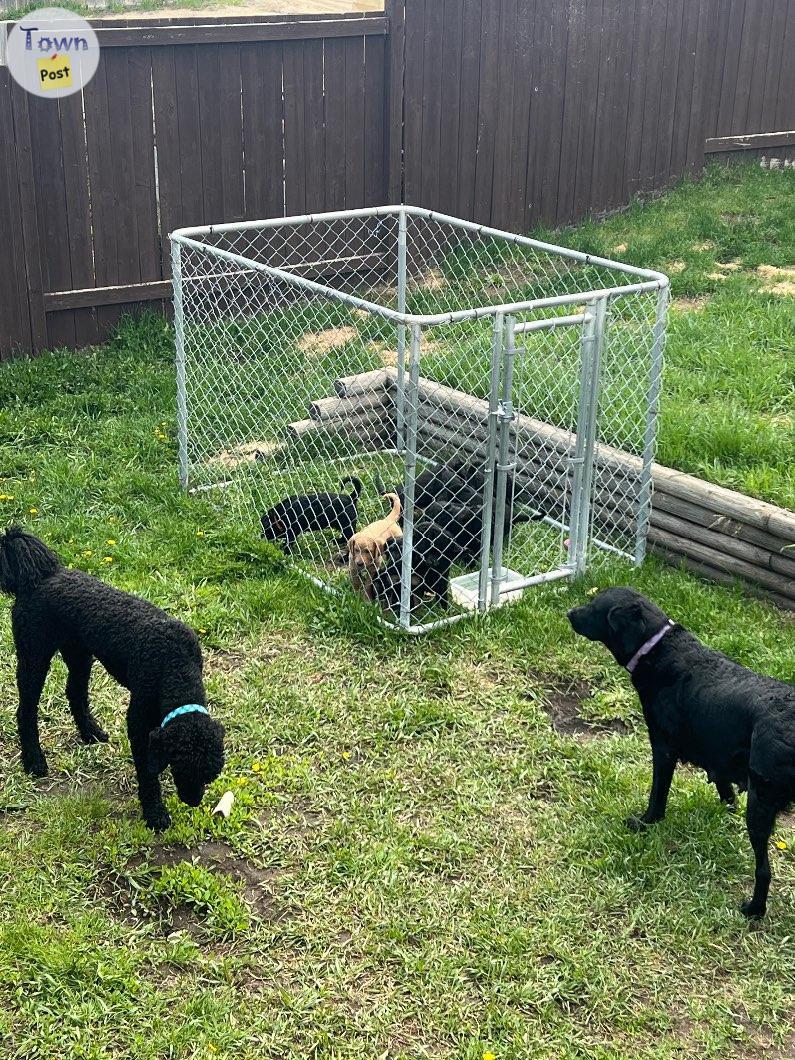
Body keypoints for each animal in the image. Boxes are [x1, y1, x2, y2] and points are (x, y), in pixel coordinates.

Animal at [0, 525, 224, 831]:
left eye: (208, 775)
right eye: (181, 767)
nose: (193, 800)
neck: (175, 663)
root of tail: (41, 576)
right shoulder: (139, 720)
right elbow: (147, 773)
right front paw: (155, 812)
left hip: (79, 654)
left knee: (75, 692)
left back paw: (90, 732)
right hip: (34, 655)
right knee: (26, 710)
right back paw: (34, 761)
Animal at [568, 589, 795, 920]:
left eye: (595, 608)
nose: (569, 613)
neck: (658, 646)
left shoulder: (663, 747)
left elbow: (657, 794)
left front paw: (646, 822)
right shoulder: (715, 751)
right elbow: (724, 787)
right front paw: (726, 809)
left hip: (761, 805)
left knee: (764, 870)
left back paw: (754, 909)